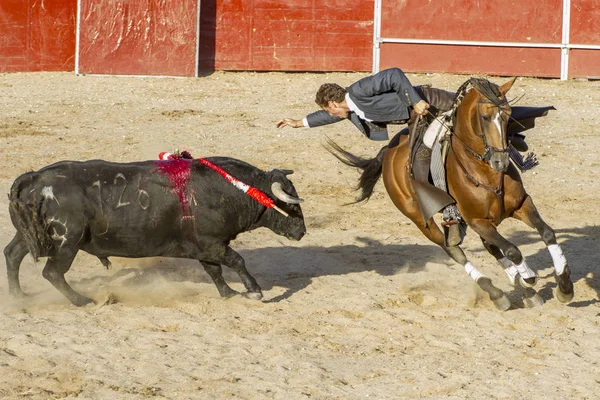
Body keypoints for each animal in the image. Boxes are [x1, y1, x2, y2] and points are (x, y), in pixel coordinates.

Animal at [3, 157, 304, 306]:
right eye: (289, 204)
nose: (301, 231)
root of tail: (34, 178)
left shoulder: (204, 246)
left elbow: (215, 271)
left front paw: (228, 294)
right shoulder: (211, 243)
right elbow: (237, 261)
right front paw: (254, 291)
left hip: (29, 235)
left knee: (12, 254)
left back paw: (18, 296)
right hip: (67, 242)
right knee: (52, 272)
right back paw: (82, 300)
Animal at [328, 76, 576, 310]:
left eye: (508, 115)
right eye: (485, 117)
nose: (501, 161)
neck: (485, 173)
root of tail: (388, 151)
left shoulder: (521, 204)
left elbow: (547, 233)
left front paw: (564, 287)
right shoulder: (476, 220)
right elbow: (513, 250)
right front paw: (529, 277)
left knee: (490, 246)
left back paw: (523, 289)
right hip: (420, 218)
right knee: (454, 250)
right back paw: (497, 293)